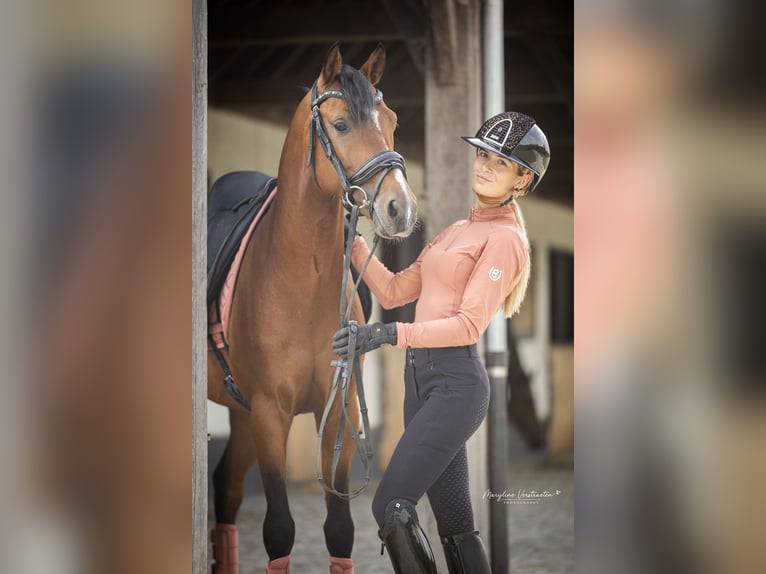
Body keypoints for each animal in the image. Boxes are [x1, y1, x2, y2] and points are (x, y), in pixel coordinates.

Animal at [208, 44, 418, 574]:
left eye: (392, 120)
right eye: (340, 124)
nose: (400, 209)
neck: (298, 277)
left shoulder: (339, 409)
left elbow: (339, 530)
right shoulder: (269, 414)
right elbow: (279, 530)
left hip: (240, 413)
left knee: (226, 489)